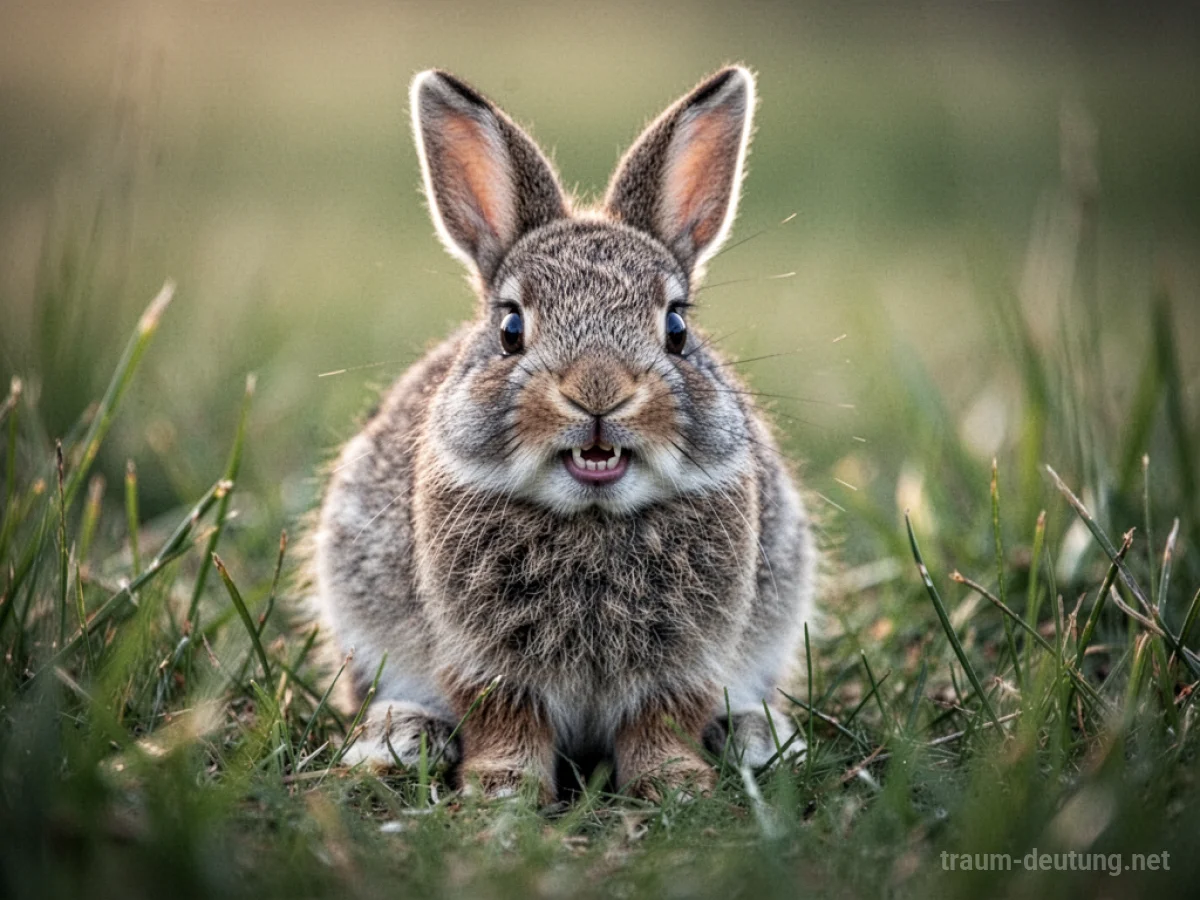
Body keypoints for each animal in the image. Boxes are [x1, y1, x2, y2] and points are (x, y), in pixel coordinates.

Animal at [312, 65, 816, 803]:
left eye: (677, 327)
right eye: (510, 328)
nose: (598, 390)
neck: (593, 517)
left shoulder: (687, 663)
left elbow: (663, 722)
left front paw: (676, 787)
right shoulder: (483, 661)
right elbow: (506, 721)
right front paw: (502, 791)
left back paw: (758, 736)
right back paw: (401, 737)